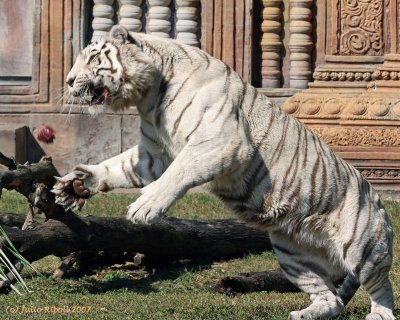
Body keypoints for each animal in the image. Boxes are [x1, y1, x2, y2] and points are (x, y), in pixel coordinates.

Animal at [52, 25, 394, 320]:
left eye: (93, 59)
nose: (68, 81)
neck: (147, 98)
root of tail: (378, 200)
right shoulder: (153, 154)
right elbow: (118, 165)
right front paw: (77, 183)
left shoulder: (220, 140)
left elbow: (177, 174)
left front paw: (144, 207)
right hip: (292, 256)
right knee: (332, 299)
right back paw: (307, 313)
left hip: (361, 247)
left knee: (382, 286)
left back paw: (380, 313)